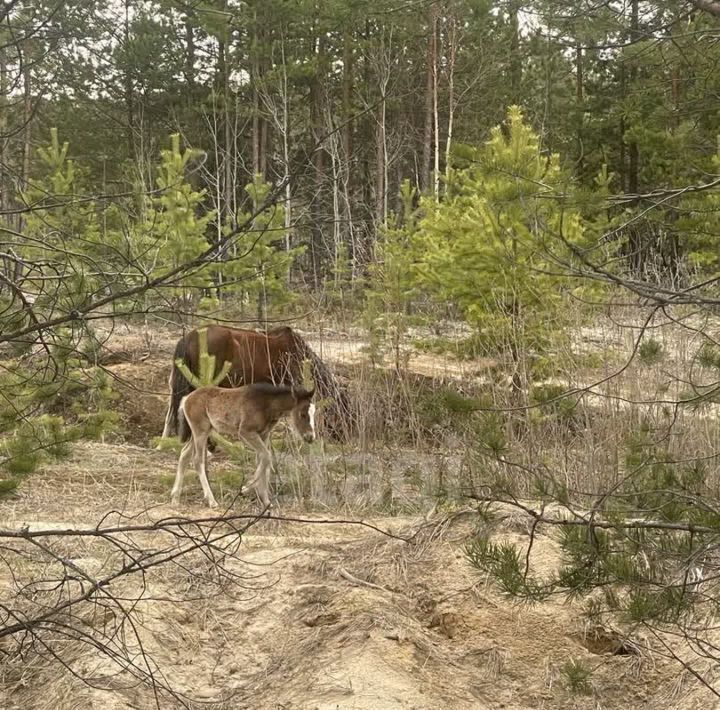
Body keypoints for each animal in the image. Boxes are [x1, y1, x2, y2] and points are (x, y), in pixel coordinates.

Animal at [170, 384, 316, 512]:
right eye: (302, 414)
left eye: (313, 413)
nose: (310, 437)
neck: (266, 404)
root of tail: (186, 398)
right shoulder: (245, 432)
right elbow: (267, 456)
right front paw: (246, 489)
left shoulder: (264, 435)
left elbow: (263, 460)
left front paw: (266, 501)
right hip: (200, 431)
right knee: (197, 460)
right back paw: (212, 501)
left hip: (200, 432)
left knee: (184, 455)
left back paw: (175, 497)